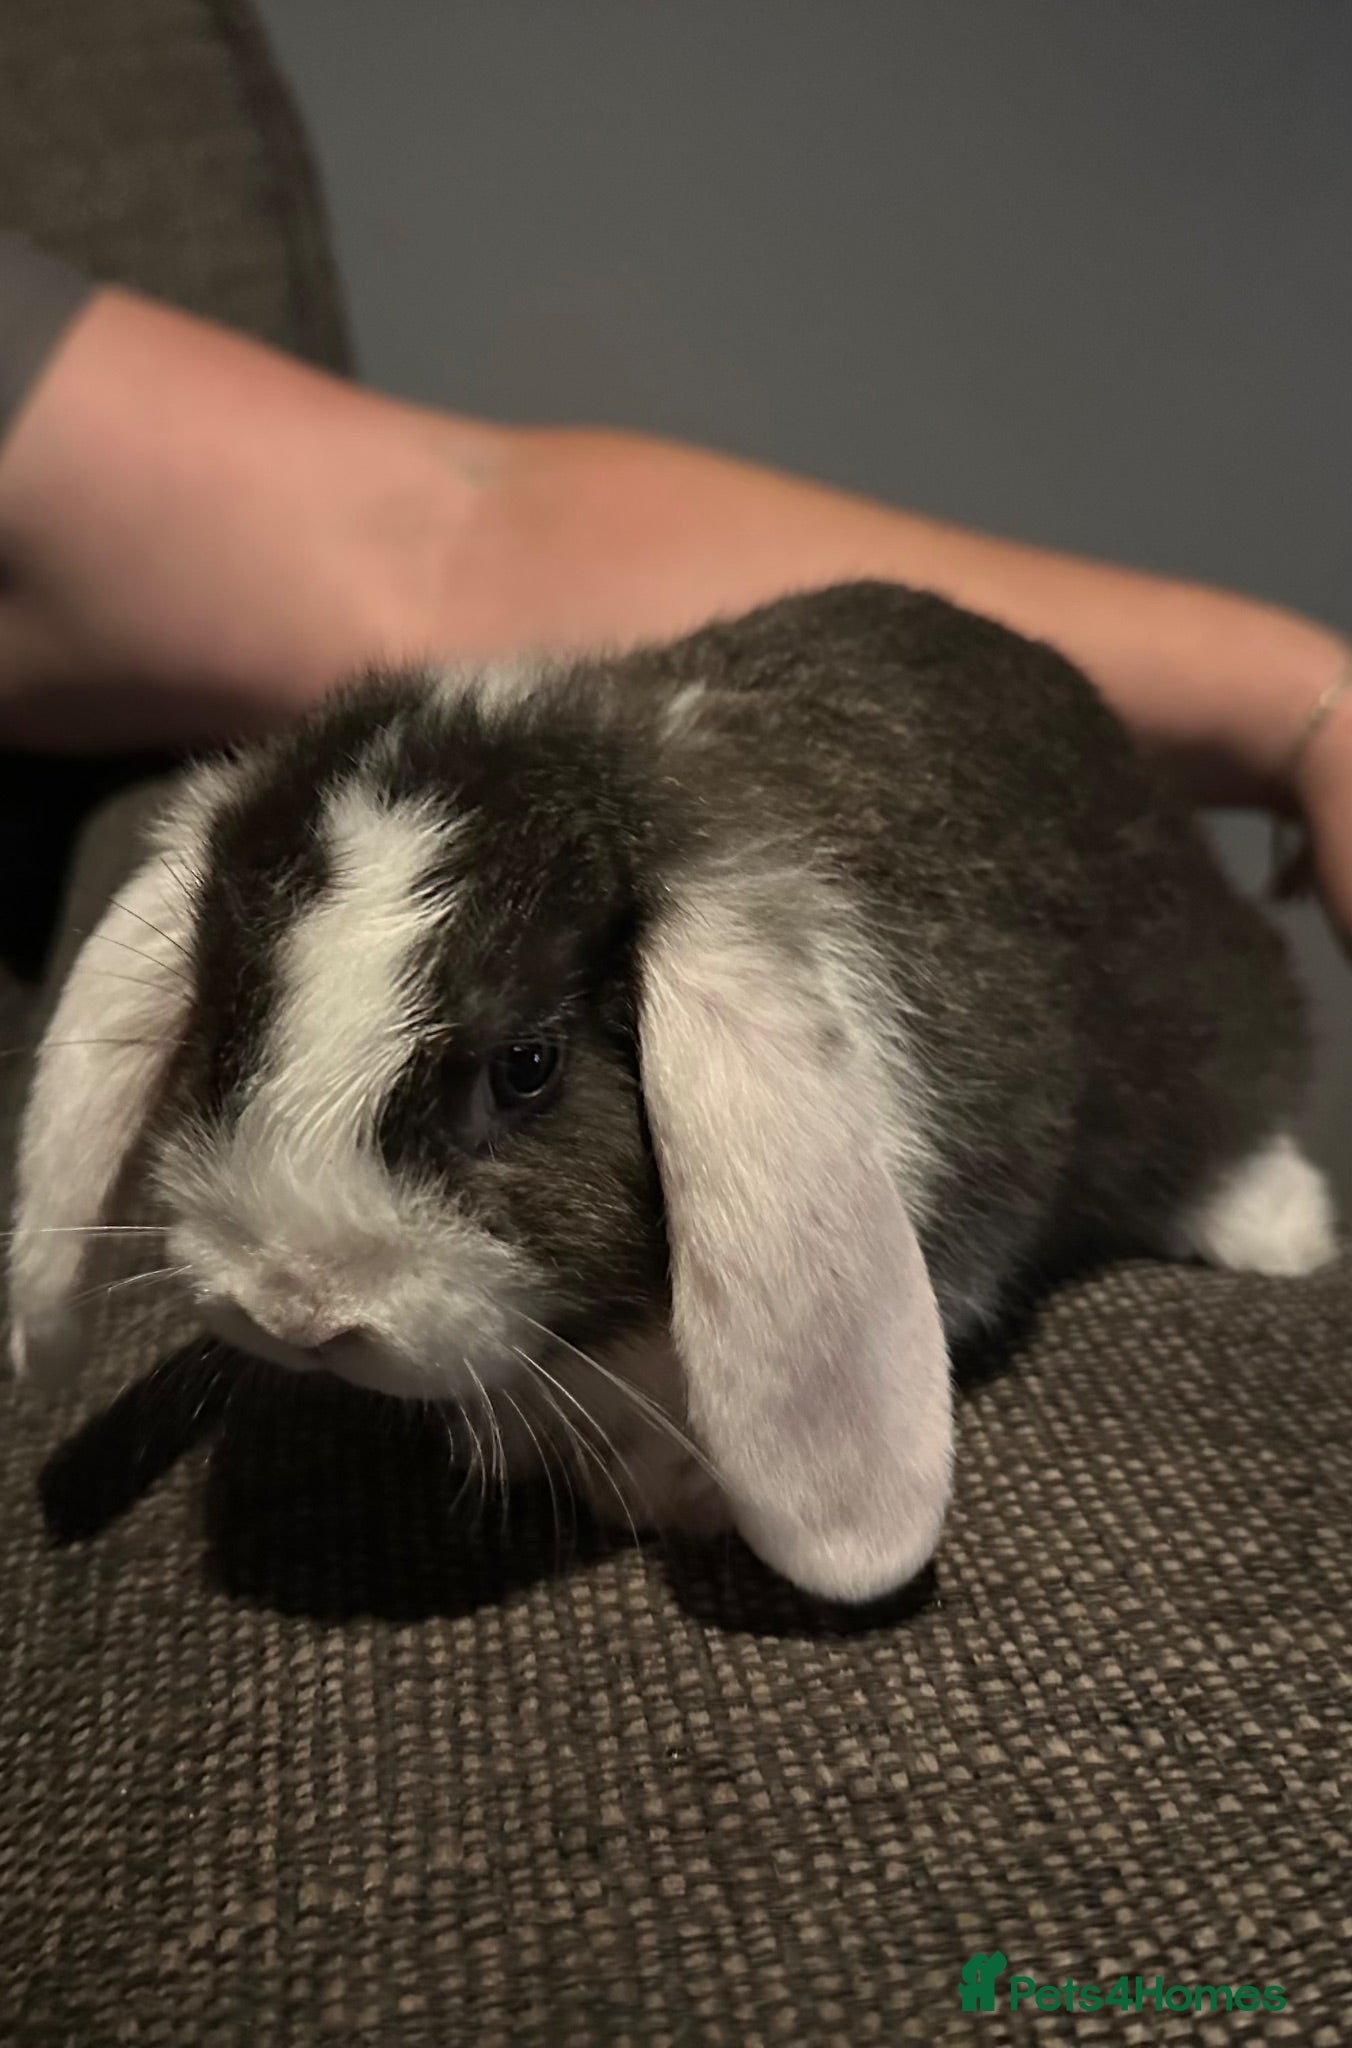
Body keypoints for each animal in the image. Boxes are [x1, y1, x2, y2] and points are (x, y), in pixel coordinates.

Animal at [6, 582, 1337, 1603]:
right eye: (227, 1019)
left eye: (526, 1066)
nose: (297, 1307)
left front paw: (680, 1489)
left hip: (1201, 1016)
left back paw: (1279, 1231)